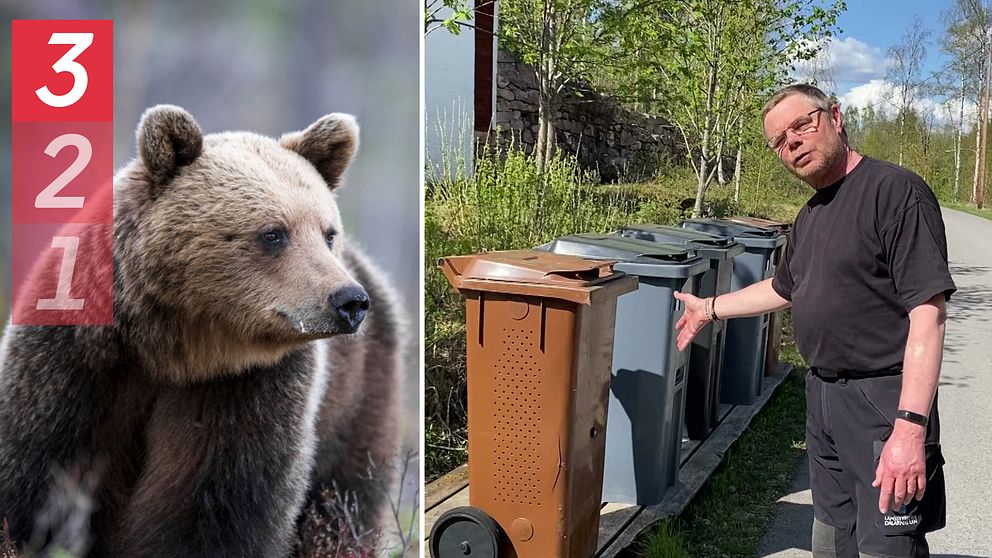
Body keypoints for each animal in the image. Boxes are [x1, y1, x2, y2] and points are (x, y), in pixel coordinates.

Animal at [0, 106, 404, 558]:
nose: (349, 301)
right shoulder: (72, 368)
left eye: (328, 232)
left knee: (346, 498)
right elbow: (37, 479)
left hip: (357, 397)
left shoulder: (246, 388)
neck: (174, 349)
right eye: (273, 233)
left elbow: (216, 506)